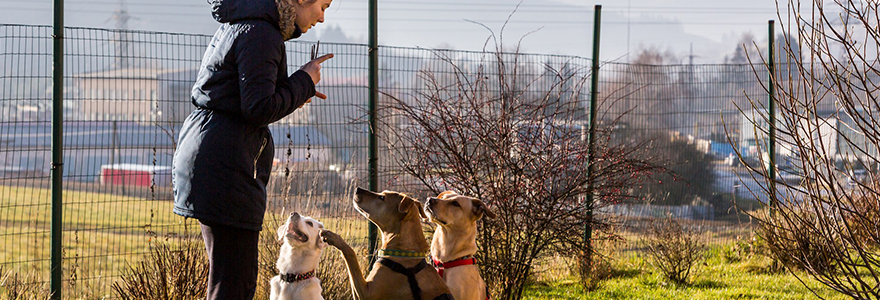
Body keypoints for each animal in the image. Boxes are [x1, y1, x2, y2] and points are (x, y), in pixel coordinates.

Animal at [320, 188, 454, 300]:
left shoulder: (366, 294)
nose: (357, 188)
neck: (404, 252)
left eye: (382, 198)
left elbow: (350, 254)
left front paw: (332, 237)